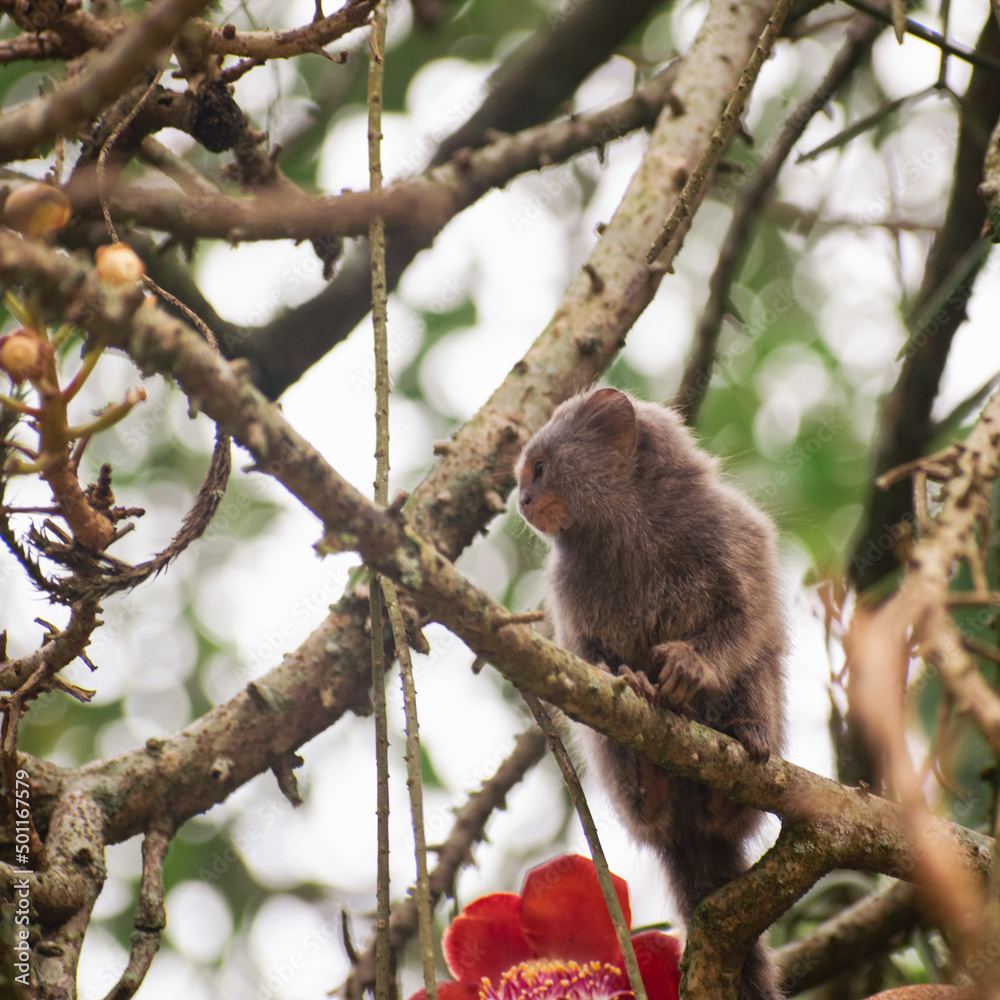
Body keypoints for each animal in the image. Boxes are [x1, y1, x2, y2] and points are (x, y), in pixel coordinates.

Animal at [516, 386, 786, 1000]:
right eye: (526, 476)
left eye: (539, 469)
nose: (521, 499)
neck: (630, 524)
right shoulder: (567, 587)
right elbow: (585, 659)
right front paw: (633, 680)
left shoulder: (728, 529)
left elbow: (749, 618)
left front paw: (691, 667)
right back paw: (650, 783)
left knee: (759, 673)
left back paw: (735, 769)